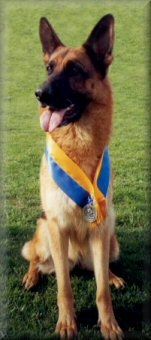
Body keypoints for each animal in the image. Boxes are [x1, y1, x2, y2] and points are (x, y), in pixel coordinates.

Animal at [21, 15, 124, 340]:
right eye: (49, 68)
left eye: (75, 70)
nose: (39, 94)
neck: (78, 146)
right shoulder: (56, 227)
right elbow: (64, 288)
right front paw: (67, 323)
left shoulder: (101, 229)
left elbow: (102, 291)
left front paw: (109, 323)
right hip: (44, 235)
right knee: (35, 258)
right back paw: (31, 277)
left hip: (111, 241)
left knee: (99, 269)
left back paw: (113, 276)